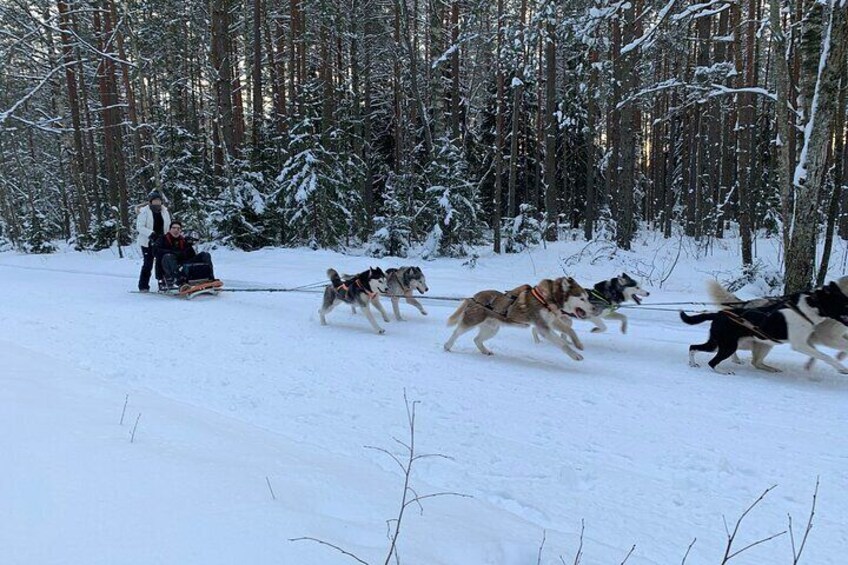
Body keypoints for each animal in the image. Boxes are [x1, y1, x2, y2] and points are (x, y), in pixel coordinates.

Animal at [440, 278, 592, 362]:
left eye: (587, 297)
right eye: (581, 298)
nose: (593, 308)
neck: (545, 298)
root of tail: (474, 297)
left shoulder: (552, 322)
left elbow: (570, 329)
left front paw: (578, 344)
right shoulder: (543, 328)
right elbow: (562, 343)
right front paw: (575, 355)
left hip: (492, 329)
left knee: (476, 339)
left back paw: (485, 351)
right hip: (471, 322)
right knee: (456, 332)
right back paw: (447, 346)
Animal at [680, 282, 848, 374]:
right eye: (845, 303)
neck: (806, 308)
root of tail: (719, 314)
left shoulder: (808, 342)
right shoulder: (800, 345)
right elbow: (825, 356)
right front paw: (841, 367)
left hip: (721, 344)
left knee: (693, 347)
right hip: (728, 345)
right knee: (712, 362)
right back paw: (723, 371)